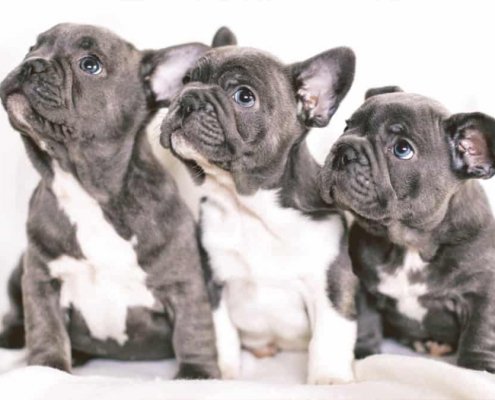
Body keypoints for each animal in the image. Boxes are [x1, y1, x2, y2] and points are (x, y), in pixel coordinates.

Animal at [0, 23, 236, 380]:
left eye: (90, 64)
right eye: (33, 47)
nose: (32, 64)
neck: (88, 191)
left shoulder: (183, 285)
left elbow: (193, 330)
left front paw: (196, 374)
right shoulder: (42, 281)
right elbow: (46, 328)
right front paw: (47, 368)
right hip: (19, 268)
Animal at [163, 44, 360, 384]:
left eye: (244, 96)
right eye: (185, 81)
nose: (188, 98)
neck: (250, 206)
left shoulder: (333, 283)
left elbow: (329, 333)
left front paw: (329, 377)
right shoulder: (213, 282)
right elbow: (221, 333)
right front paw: (225, 372)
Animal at [318, 86, 495, 372]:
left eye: (402, 149)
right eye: (347, 126)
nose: (344, 149)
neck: (410, 244)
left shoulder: (481, 294)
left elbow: (480, 331)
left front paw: (476, 367)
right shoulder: (364, 286)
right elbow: (366, 321)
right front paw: (365, 352)